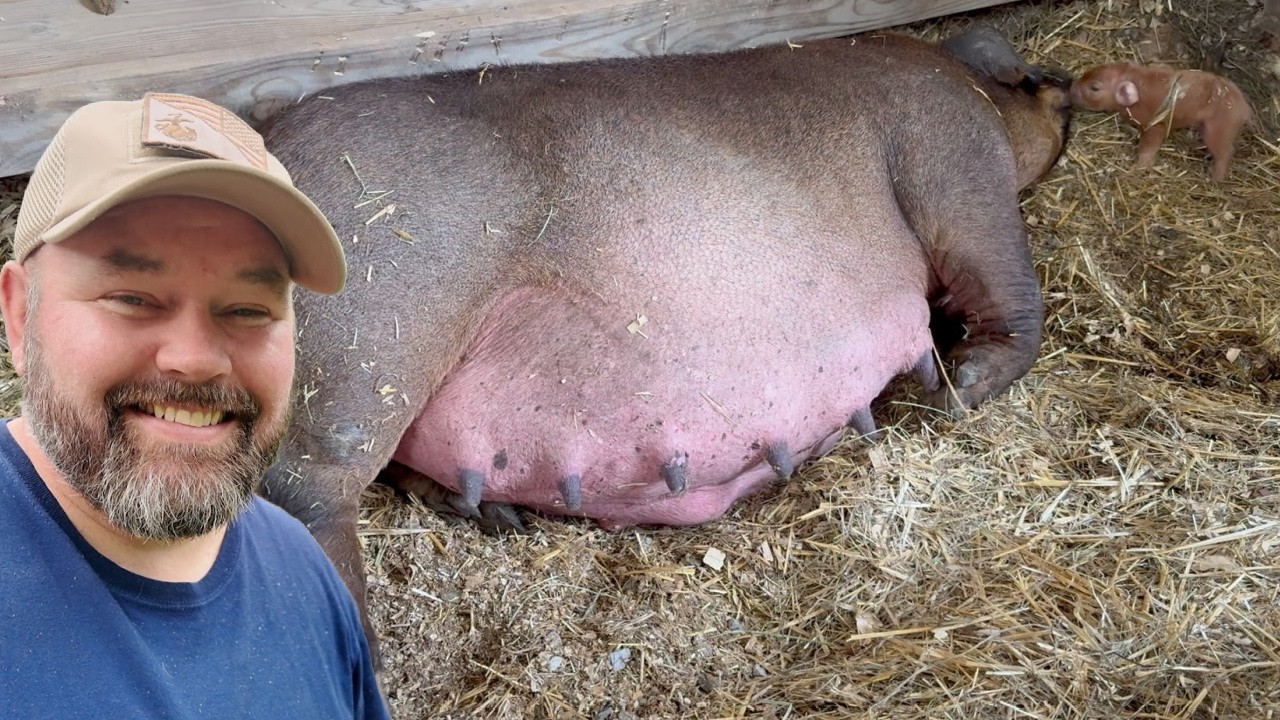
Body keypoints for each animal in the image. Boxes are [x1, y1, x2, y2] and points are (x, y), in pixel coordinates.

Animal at [259, 31, 1072, 662]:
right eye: (1042, 87)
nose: (1067, 84)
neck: (975, 89)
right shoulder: (954, 153)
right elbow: (1006, 279)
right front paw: (955, 392)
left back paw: (497, 517)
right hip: (378, 328)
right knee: (305, 489)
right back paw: (361, 638)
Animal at [1071, 61, 1253, 181]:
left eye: (1095, 88)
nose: (1070, 88)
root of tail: (1245, 109)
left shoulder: (1156, 125)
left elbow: (1149, 147)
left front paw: (1137, 169)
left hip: (1219, 130)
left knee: (1226, 152)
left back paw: (1214, 179)